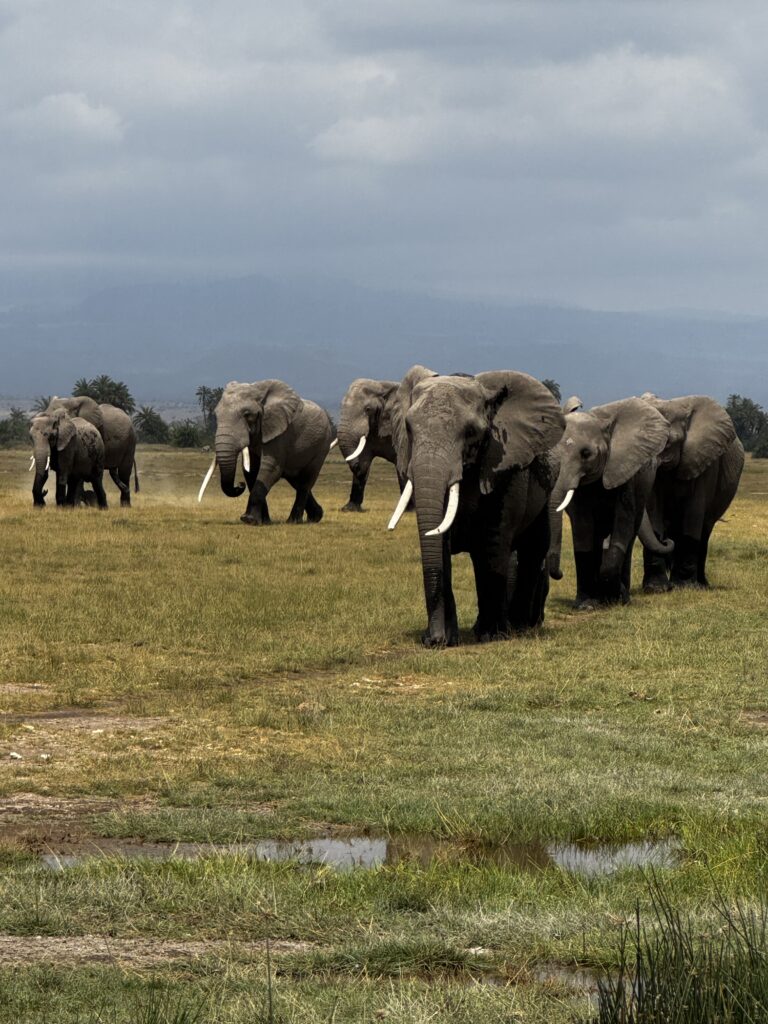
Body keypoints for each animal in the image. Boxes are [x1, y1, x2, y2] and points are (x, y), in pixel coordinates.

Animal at [199, 379, 332, 525]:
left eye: (247, 415)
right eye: (216, 415)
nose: (239, 485)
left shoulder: (279, 433)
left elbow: (270, 468)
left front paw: (249, 520)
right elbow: (251, 472)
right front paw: (263, 521)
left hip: (322, 445)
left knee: (305, 482)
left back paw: (294, 521)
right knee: (295, 480)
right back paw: (315, 517)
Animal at [336, 378, 411, 512]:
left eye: (367, 409)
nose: (355, 466)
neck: (382, 386)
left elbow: (402, 462)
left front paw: (408, 510)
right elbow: (364, 459)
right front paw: (349, 509)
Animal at [388, 365, 565, 647]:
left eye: (471, 432)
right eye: (408, 427)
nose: (431, 639)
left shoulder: (503, 465)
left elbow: (493, 544)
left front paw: (493, 636)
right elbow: (441, 543)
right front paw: (447, 640)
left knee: (532, 548)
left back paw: (518, 627)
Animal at [549, 397, 673, 610]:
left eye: (586, 453)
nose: (560, 573)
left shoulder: (624, 470)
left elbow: (622, 521)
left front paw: (617, 595)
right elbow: (583, 528)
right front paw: (586, 605)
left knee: (629, 536)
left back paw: (620, 597)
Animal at [639, 393, 745, 590]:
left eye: (667, 443)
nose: (665, 542)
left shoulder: (705, 460)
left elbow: (694, 511)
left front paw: (684, 587)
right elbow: (654, 509)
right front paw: (656, 588)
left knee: (704, 531)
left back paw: (702, 584)